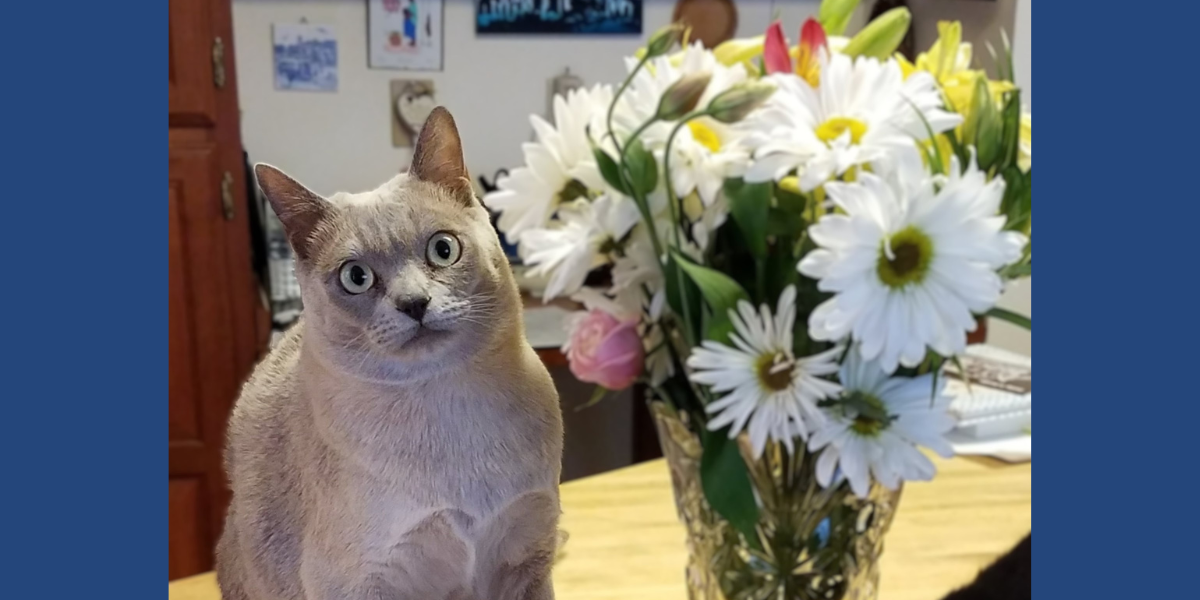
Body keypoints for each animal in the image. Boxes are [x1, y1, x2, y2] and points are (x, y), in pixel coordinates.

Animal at [218, 108, 564, 600]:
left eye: (443, 249)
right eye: (356, 277)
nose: (414, 303)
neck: (447, 408)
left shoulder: (528, 562)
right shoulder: (358, 582)